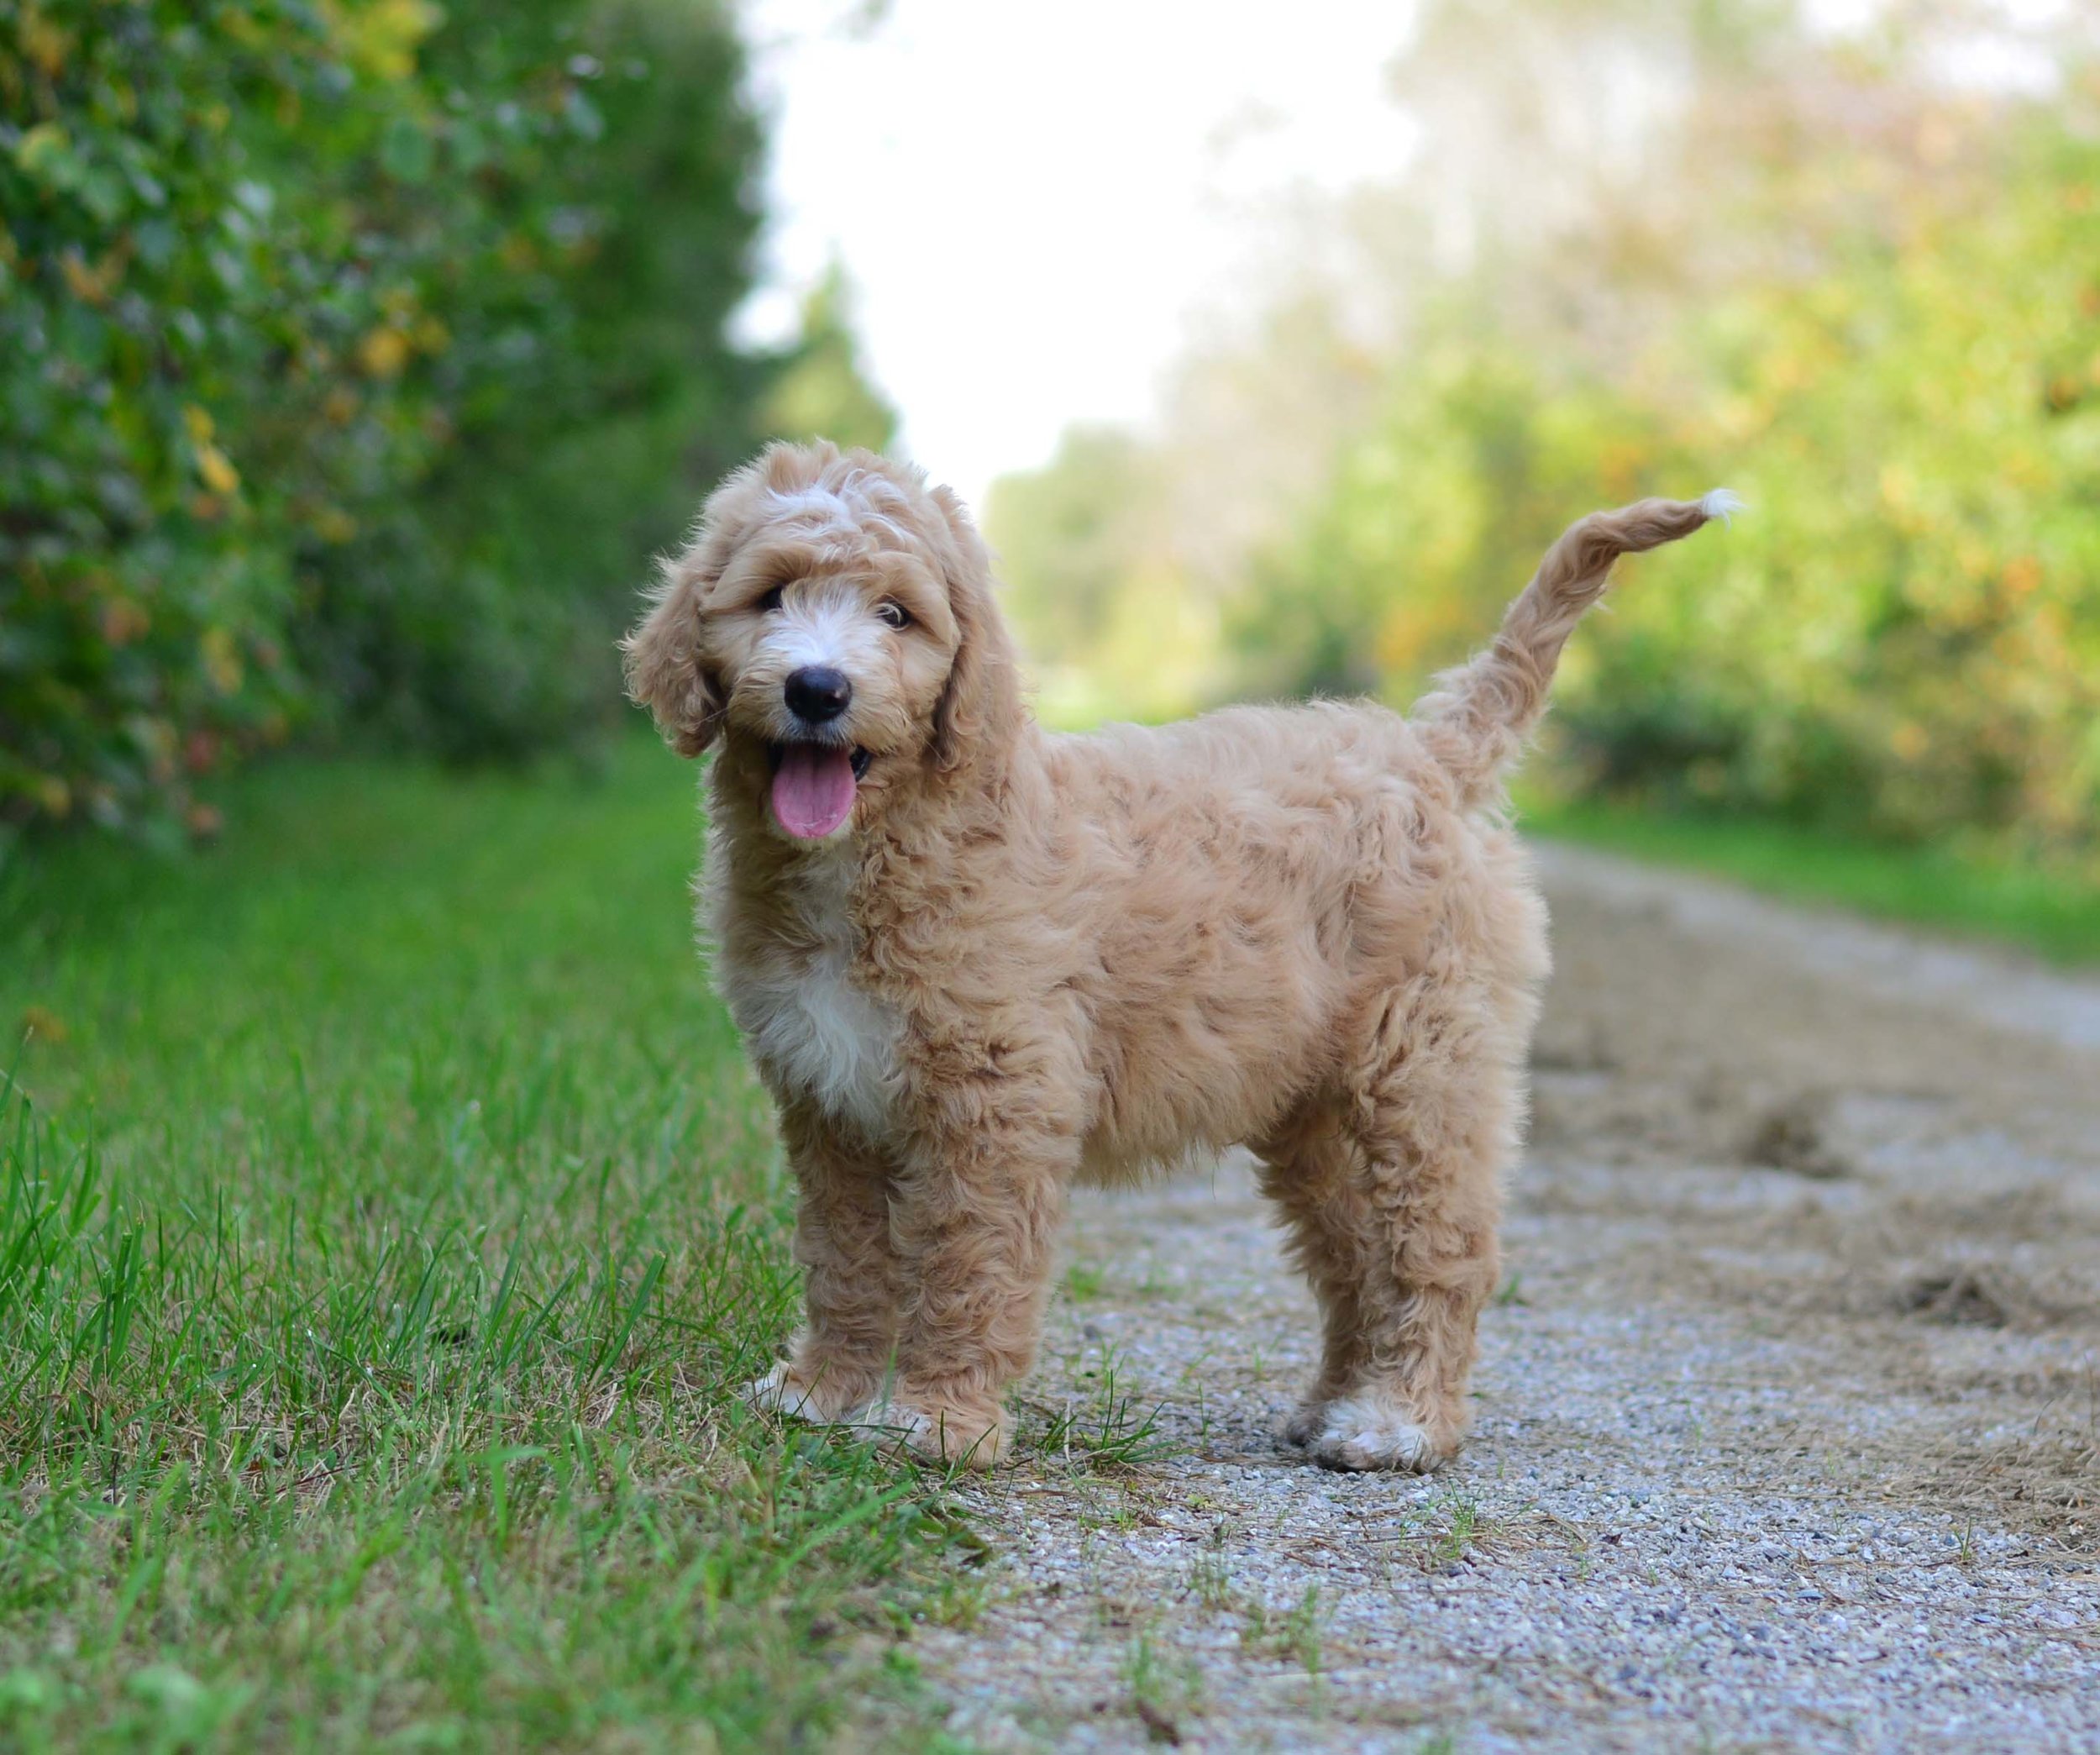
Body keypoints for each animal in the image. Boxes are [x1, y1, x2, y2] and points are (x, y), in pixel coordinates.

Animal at [622, 439, 1739, 1469]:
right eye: (770, 595)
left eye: (897, 616)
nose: (818, 688)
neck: (885, 845)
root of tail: (1431, 750)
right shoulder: (826, 1098)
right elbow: (843, 1256)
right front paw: (822, 1393)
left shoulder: (996, 1100)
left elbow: (967, 1263)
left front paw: (938, 1424)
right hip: (1313, 1110)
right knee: (1353, 1258)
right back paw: (1331, 1406)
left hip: (1423, 1070)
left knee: (1437, 1249)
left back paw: (1399, 1423)